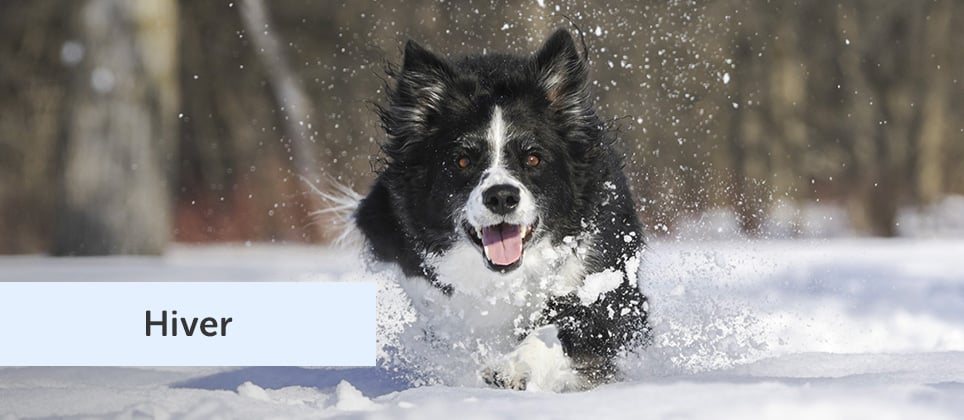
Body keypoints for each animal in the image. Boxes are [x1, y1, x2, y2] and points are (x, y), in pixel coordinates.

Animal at [354, 28, 648, 390]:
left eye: (533, 158)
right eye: (462, 160)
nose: (502, 197)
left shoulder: (611, 295)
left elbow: (561, 326)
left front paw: (513, 367)